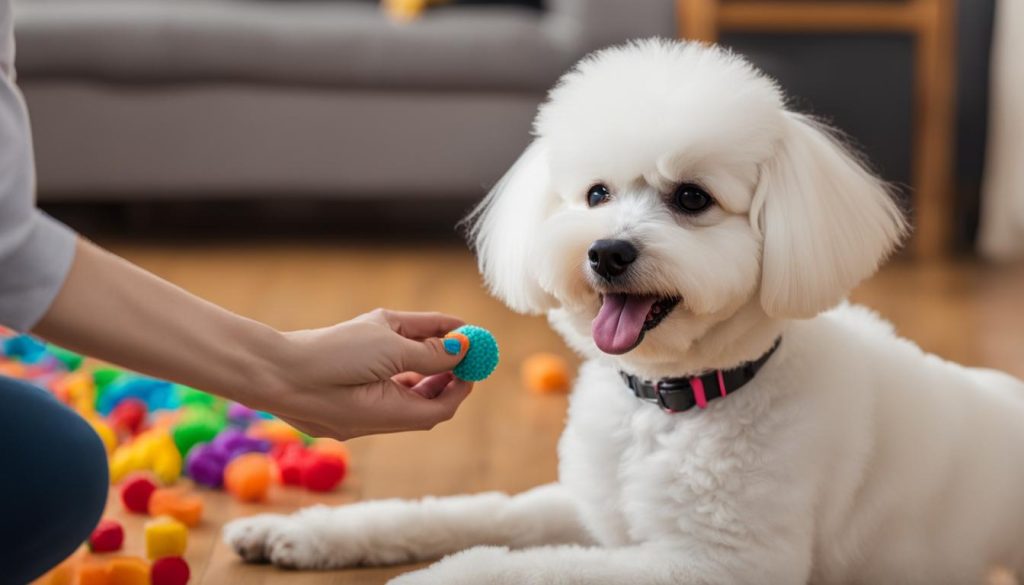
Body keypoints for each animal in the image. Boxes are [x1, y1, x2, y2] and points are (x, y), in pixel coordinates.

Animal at [224, 41, 1024, 585]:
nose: (606, 251)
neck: (672, 402)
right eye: (596, 194)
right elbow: (477, 512)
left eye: (692, 198)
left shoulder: (719, 563)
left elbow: (529, 565)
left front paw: (439, 578)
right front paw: (310, 533)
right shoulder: (589, 506)